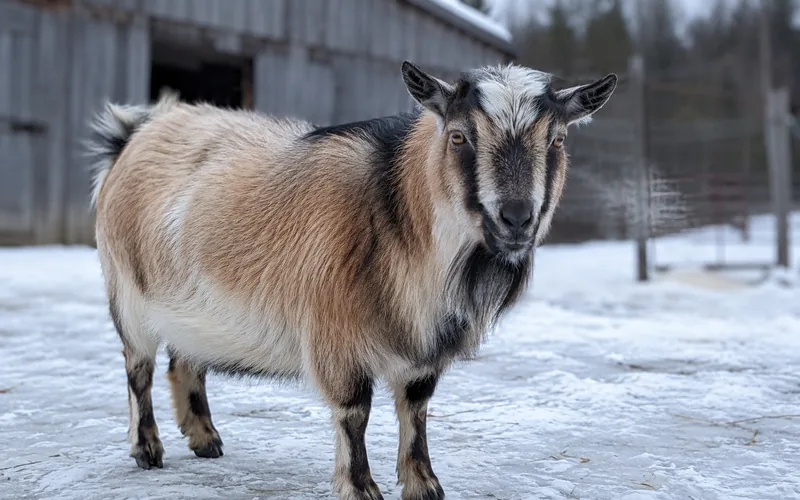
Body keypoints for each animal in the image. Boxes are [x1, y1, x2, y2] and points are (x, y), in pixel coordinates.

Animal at [89, 61, 616, 500]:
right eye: (459, 137)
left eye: (558, 140)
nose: (516, 217)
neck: (398, 216)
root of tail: (133, 135)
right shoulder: (336, 333)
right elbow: (354, 412)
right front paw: (361, 488)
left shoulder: (425, 348)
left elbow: (416, 409)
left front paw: (425, 485)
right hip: (127, 293)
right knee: (139, 369)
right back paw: (147, 449)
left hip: (187, 305)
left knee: (185, 360)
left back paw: (205, 439)